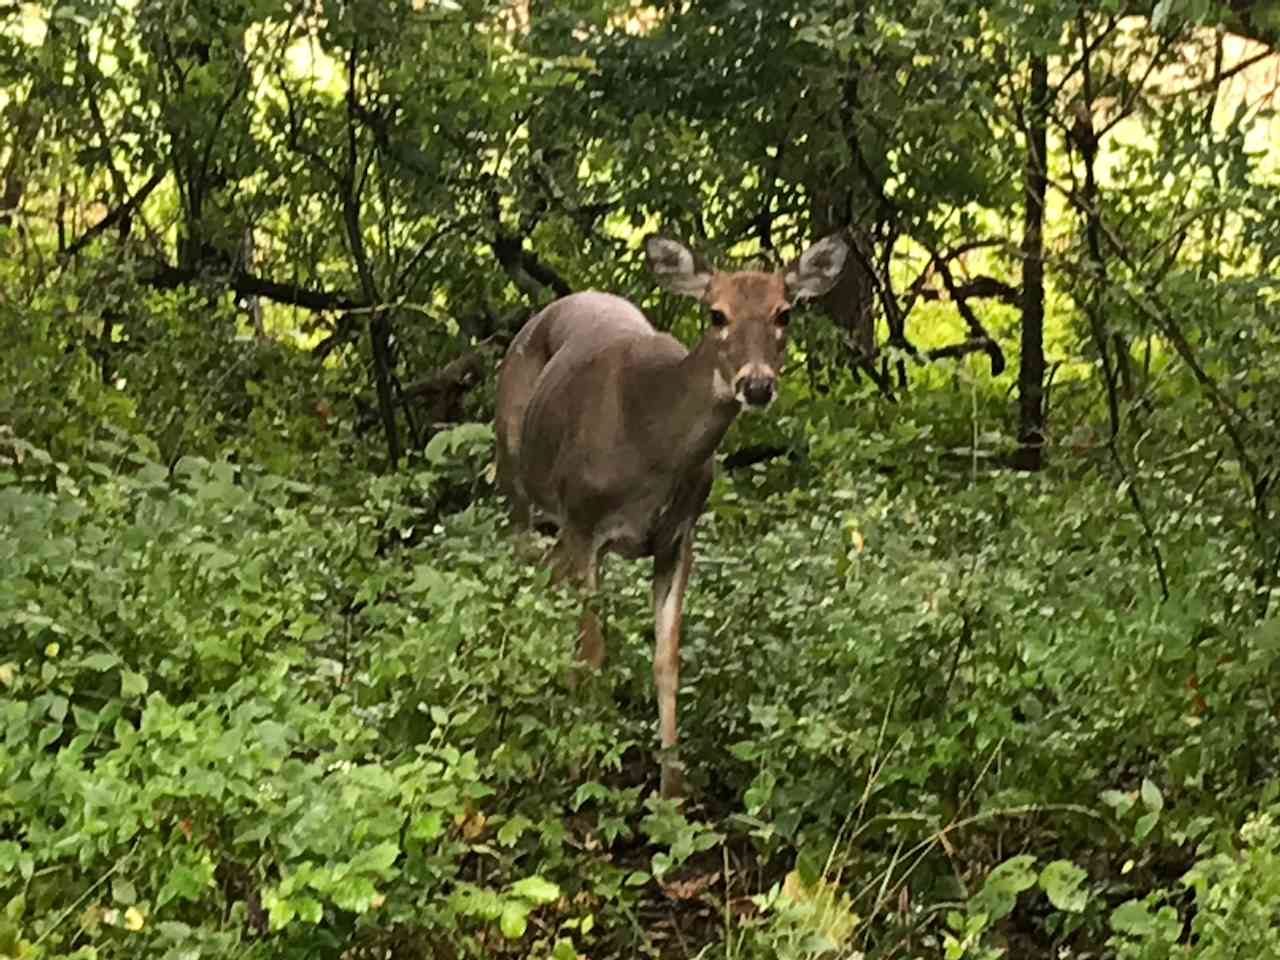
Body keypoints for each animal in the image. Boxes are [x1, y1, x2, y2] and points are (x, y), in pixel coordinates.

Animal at [496, 231, 849, 798]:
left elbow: (667, 658)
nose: (757, 386)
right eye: (716, 313)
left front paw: (672, 787)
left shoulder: (677, 536)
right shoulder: (585, 522)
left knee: (548, 580)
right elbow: (594, 649)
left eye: (785, 312)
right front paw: (587, 770)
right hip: (515, 478)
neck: (651, 448)